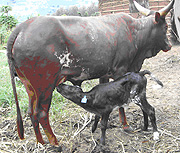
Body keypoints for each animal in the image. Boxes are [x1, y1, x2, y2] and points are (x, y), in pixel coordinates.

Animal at [7, 0, 174, 146]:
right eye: (166, 27)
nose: (169, 45)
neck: (135, 33)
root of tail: (21, 27)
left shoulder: (104, 75)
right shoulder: (120, 70)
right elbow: (121, 105)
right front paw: (125, 125)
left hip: (30, 87)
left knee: (31, 112)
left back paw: (40, 142)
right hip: (45, 86)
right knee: (41, 113)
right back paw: (55, 143)